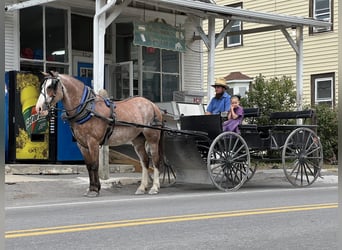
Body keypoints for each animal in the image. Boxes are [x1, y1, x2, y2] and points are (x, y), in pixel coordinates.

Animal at [35, 71, 164, 196]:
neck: (87, 108)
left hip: (152, 138)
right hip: (138, 140)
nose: (39, 108)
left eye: (50, 86)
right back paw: (142, 188)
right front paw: (92, 188)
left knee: (155, 160)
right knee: (145, 161)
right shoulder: (82, 145)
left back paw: (154, 187)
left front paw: (95, 190)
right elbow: (88, 166)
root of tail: (152, 105)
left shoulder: (93, 142)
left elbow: (94, 165)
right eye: (42, 86)